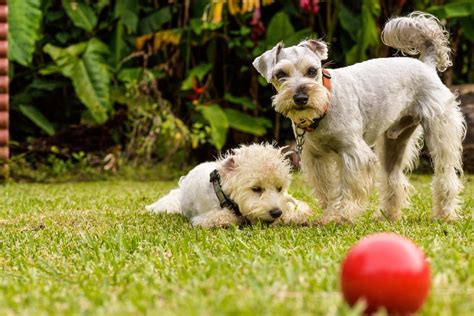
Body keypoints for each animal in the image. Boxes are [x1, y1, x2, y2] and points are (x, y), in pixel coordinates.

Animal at [146, 143, 312, 227]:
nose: (276, 213)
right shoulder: (204, 218)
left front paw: (296, 213)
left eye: (279, 188)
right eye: (256, 189)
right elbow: (227, 217)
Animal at [254, 11, 464, 222]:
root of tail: (426, 65)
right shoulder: (316, 158)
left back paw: (445, 215)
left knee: (446, 175)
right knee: (393, 179)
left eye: (312, 70)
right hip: (393, 142)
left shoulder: (354, 153)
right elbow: (327, 191)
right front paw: (330, 214)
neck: (325, 104)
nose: (301, 98)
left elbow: (349, 188)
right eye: (280, 74)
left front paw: (342, 215)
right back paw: (389, 215)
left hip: (440, 133)